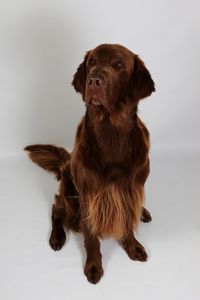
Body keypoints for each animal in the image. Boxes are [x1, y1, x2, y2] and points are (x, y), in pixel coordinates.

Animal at [25, 44, 155, 284]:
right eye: (92, 62)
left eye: (118, 64)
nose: (93, 80)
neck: (111, 133)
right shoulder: (89, 194)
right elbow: (91, 236)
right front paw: (94, 265)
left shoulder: (130, 189)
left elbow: (128, 222)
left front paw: (133, 247)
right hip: (69, 190)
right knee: (57, 209)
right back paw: (57, 237)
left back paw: (143, 212)